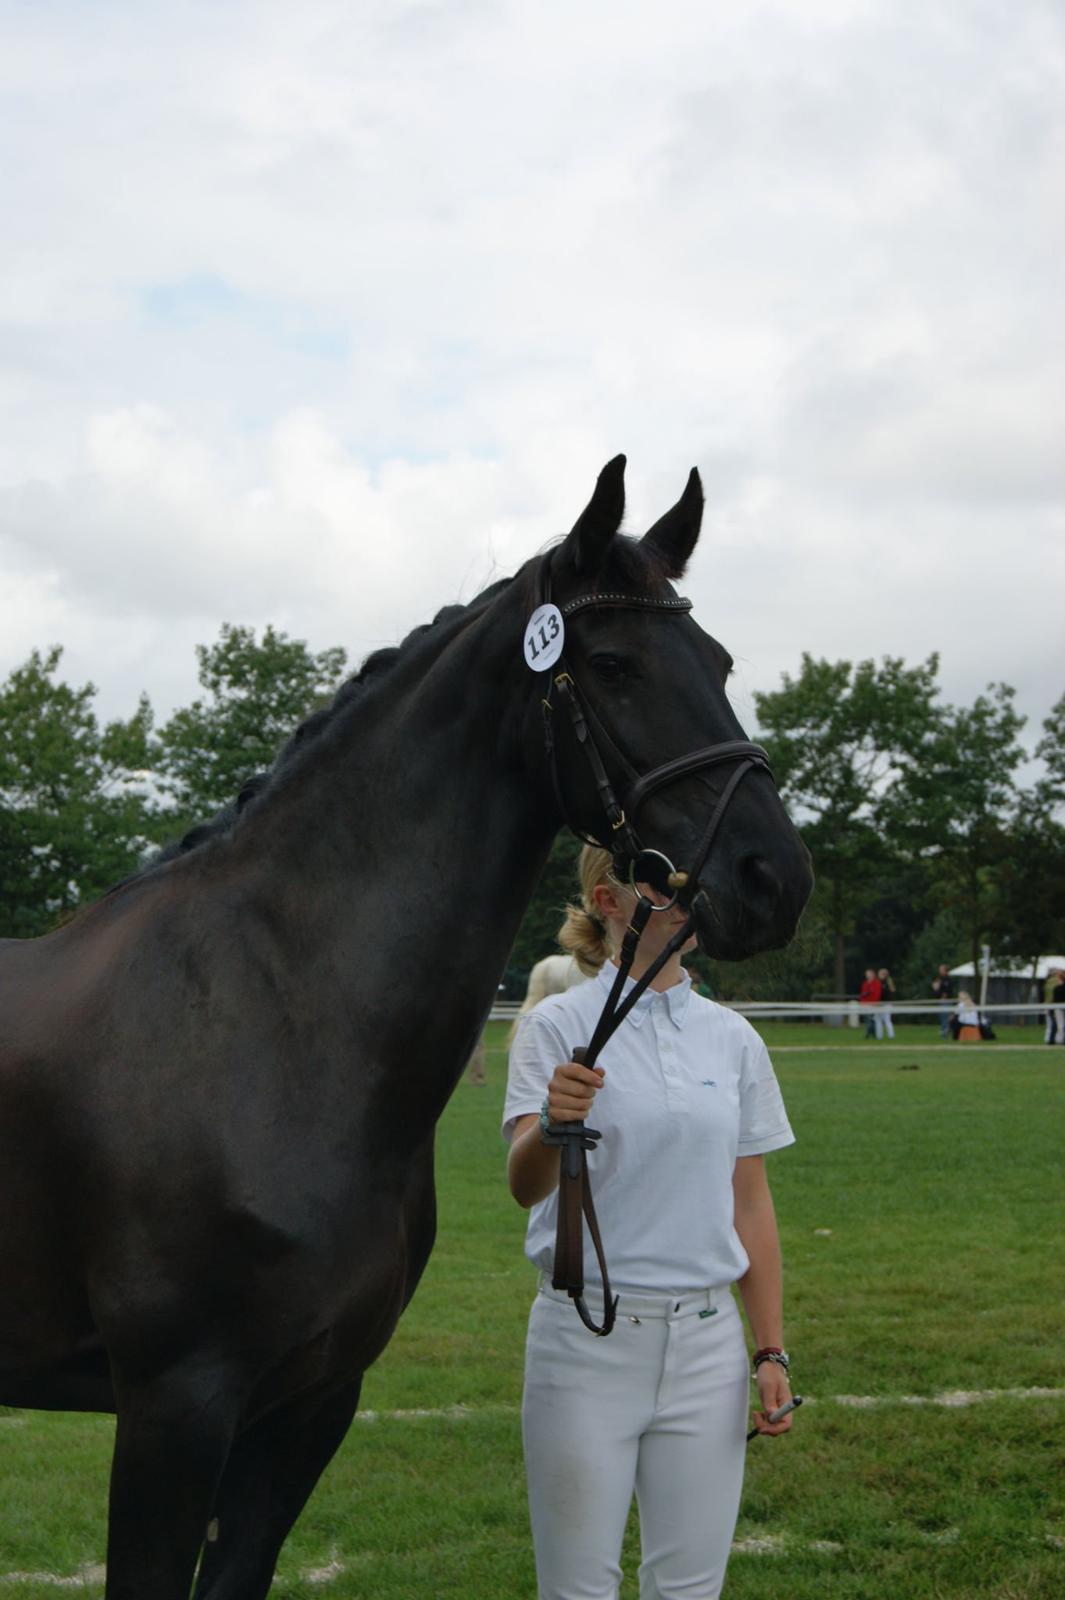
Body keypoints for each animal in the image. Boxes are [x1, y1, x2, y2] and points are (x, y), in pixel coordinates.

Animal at [0, 457, 805, 1593]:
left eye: (721, 661)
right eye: (611, 662)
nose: (774, 876)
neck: (270, 1023)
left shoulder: (307, 1404)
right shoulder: (173, 1407)